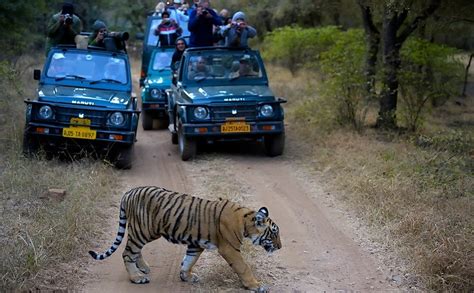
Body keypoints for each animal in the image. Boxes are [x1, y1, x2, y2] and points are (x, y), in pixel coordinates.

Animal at [88, 185, 282, 290]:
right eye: (274, 233)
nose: (280, 247)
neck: (245, 221)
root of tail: (129, 192)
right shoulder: (230, 248)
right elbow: (243, 267)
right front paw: (256, 285)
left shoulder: (196, 244)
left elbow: (189, 260)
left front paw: (185, 276)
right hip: (143, 230)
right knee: (127, 253)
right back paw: (137, 277)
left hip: (142, 232)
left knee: (134, 250)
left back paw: (143, 268)